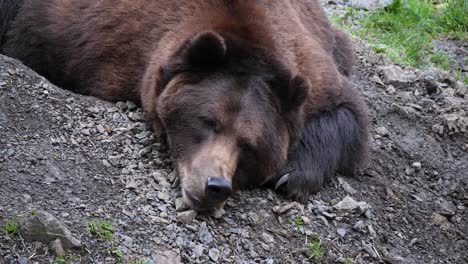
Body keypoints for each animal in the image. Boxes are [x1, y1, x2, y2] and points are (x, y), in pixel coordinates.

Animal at [0, 0, 370, 210]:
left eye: (249, 145)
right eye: (208, 121)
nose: (215, 186)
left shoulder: (304, 59)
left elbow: (346, 109)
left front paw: (291, 175)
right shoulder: (87, 36)